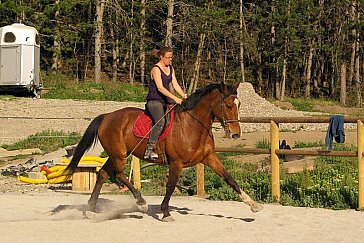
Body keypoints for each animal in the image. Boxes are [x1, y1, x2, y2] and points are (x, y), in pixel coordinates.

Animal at [65, 82, 264, 222]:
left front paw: (254, 205)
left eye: (239, 104)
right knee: (119, 174)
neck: (193, 125)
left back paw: (90, 211)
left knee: (104, 174)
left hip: (116, 155)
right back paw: (141, 203)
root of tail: (107, 116)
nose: (236, 134)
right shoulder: (176, 163)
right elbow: (170, 186)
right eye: (229, 105)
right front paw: (166, 212)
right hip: (119, 155)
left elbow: (229, 179)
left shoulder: (209, 158)